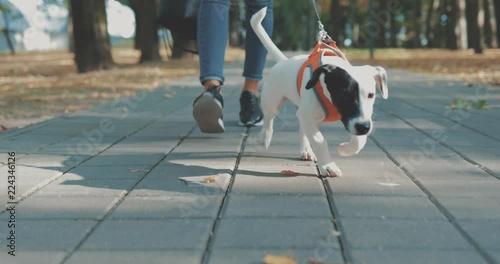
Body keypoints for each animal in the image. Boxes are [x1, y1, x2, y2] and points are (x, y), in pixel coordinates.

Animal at [252, 7, 388, 177]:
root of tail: (283, 61)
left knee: (301, 129)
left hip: (301, 110)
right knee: (269, 120)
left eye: (371, 95)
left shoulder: (357, 118)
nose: (364, 127)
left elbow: (359, 140)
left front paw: (346, 149)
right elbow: (319, 140)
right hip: (272, 101)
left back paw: (306, 151)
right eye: (344, 95)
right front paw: (328, 165)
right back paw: (265, 137)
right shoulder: (311, 116)